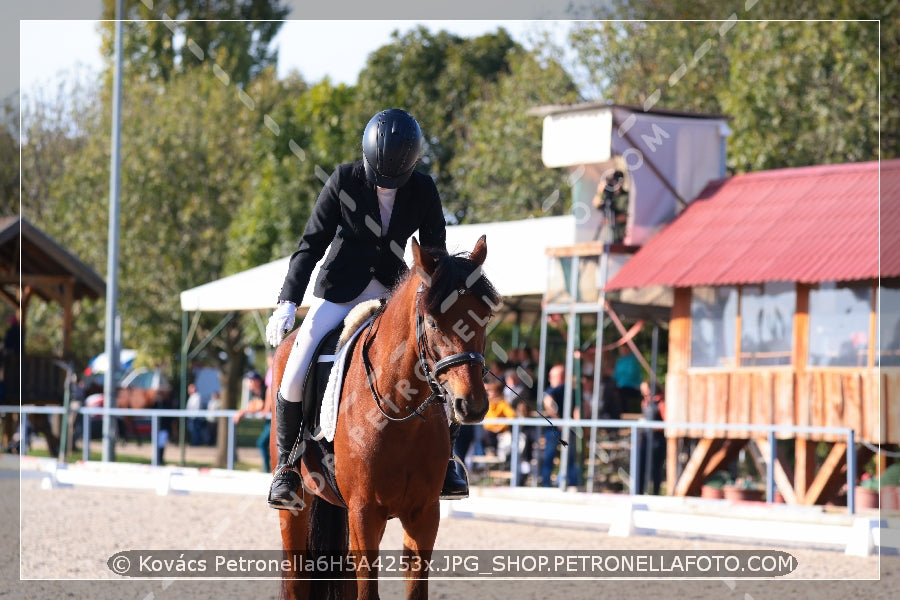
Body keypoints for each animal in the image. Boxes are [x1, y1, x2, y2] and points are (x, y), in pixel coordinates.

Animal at [270, 236, 502, 600]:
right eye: (432, 322)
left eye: (484, 317)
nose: (472, 405)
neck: (400, 415)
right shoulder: (365, 513)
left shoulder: (424, 514)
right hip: (298, 508)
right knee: (296, 576)